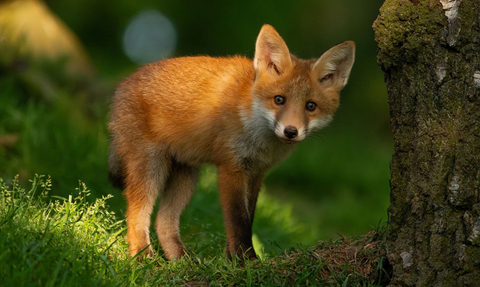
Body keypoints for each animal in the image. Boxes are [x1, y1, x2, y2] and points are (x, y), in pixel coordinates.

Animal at [109, 24, 356, 260]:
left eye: (310, 106)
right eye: (279, 100)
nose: (290, 131)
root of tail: (122, 84)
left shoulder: (256, 173)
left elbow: (249, 216)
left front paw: (232, 260)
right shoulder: (231, 167)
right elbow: (238, 221)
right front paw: (246, 261)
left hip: (186, 176)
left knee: (163, 222)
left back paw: (181, 261)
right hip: (151, 169)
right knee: (135, 216)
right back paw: (143, 258)